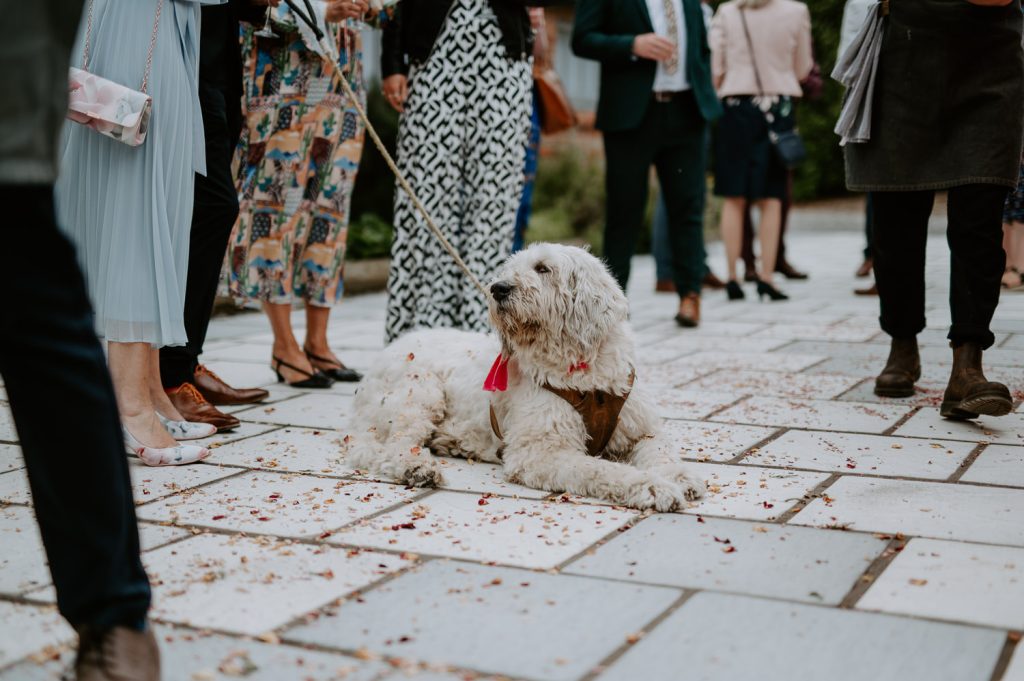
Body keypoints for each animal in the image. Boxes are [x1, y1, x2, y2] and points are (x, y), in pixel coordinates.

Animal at [344, 242, 704, 509]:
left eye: (543, 268)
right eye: (508, 271)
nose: (498, 288)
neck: (582, 369)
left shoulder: (641, 430)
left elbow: (660, 451)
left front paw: (679, 476)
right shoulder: (541, 452)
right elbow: (599, 469)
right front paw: (650, 487)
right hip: (419, 392)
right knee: (388, 447)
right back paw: (417, 468)